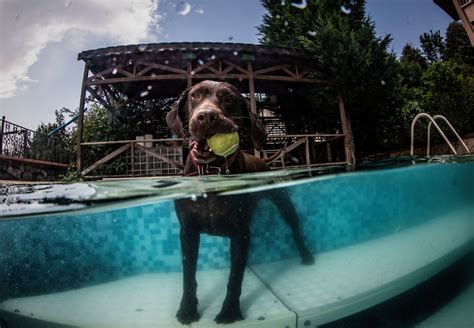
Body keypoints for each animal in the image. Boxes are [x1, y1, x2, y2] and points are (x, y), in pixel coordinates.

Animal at [167, 80, 314, 324]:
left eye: (228, 98)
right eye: (195, 95)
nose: (207, 116)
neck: (212, 171)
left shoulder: (241, 234)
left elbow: (235, 277)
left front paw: (229, 312)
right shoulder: (187, 231)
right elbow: (189, 275)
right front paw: (187, 309)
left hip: (283, 202)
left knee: (296, 229)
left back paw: (306, 255)